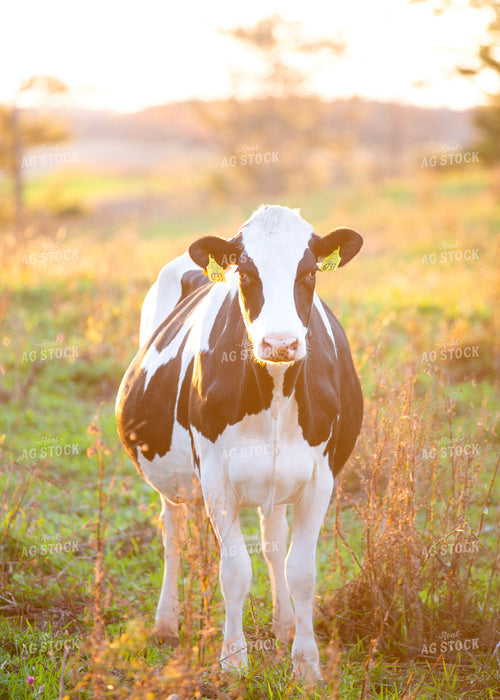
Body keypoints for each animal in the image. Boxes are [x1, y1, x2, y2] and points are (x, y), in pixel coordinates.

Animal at [115, 204, 363, 681]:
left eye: (309, 272)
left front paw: (306, 665)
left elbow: (300, 571)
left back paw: (284, 624)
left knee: (273, 539)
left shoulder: (321, 478)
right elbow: (234, 570)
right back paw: (165, 624)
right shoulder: (216, 478)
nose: (280, 342)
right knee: (173, 535)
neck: (276, 389)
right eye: (246, 274)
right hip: (172, 479)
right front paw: (233, 660)